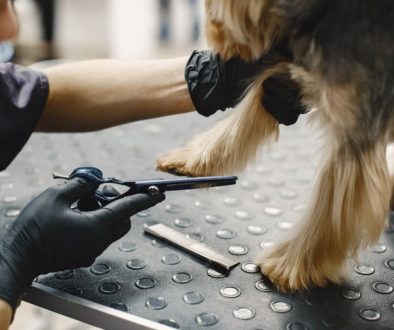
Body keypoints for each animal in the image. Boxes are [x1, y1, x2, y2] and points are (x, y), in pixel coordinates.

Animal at [156, 0, 394, 292]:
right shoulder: (284, 76)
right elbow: (243, 117)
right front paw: (193, 160)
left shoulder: (355, 131)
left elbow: (327, 210)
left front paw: (289, 265)